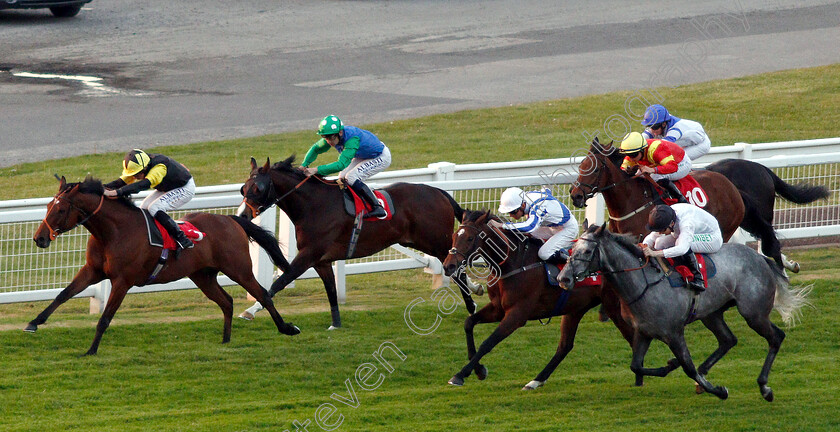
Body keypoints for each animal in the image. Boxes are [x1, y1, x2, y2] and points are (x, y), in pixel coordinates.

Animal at [29, 176, 302, 354]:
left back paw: (287, 328)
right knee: (226, 301)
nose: (39, 238)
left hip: (239, 269)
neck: (113, 232)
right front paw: (34, 323)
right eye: (48, 206)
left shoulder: (122, 281)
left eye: (60, 209)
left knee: (262, 294)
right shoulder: (92, 271)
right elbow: (64, 294)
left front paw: (91, 350)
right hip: (203, 276)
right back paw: (225, 340)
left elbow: (106, 317)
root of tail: (231, 219)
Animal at [236, 157, 476, 330]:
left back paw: (471, 304)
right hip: (422, 242)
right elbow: (331, 290)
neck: (313, 205)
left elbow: (279, 283)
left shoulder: (308, 255)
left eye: (258, 188)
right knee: (454, 267)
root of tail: (439, 192)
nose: (243, 215)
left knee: (457, 268)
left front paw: (250, 311)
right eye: (243, 188)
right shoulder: (321, 261)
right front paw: (336, 324)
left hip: (436, 241)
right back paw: (476, 289)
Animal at [440, 211, 676, 390]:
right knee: (565, 346)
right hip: (575, 309)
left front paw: (461, 374)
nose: (448, 265)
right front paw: (478, 370)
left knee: (630, 336)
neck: (514, 263)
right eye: (454, 235)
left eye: (470, 238)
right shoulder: (498, 308)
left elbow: (488, 342)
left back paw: (641, 378)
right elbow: (469, 323)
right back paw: (536, 381)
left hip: (614, 307)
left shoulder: (517, 314)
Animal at [556, 226, 808, 402]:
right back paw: (706, 373)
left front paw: (719, 390)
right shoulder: (643, 332)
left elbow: (688, 367)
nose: (563, 278)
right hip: (712, 314)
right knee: (728, 340)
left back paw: (764, 387)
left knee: (776, 337)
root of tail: (761, 258)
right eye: (571, 250)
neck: (643, 283)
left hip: (753, 313)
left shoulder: (674, 333)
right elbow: (636, 365)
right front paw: (670, 365)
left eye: (587, 251)